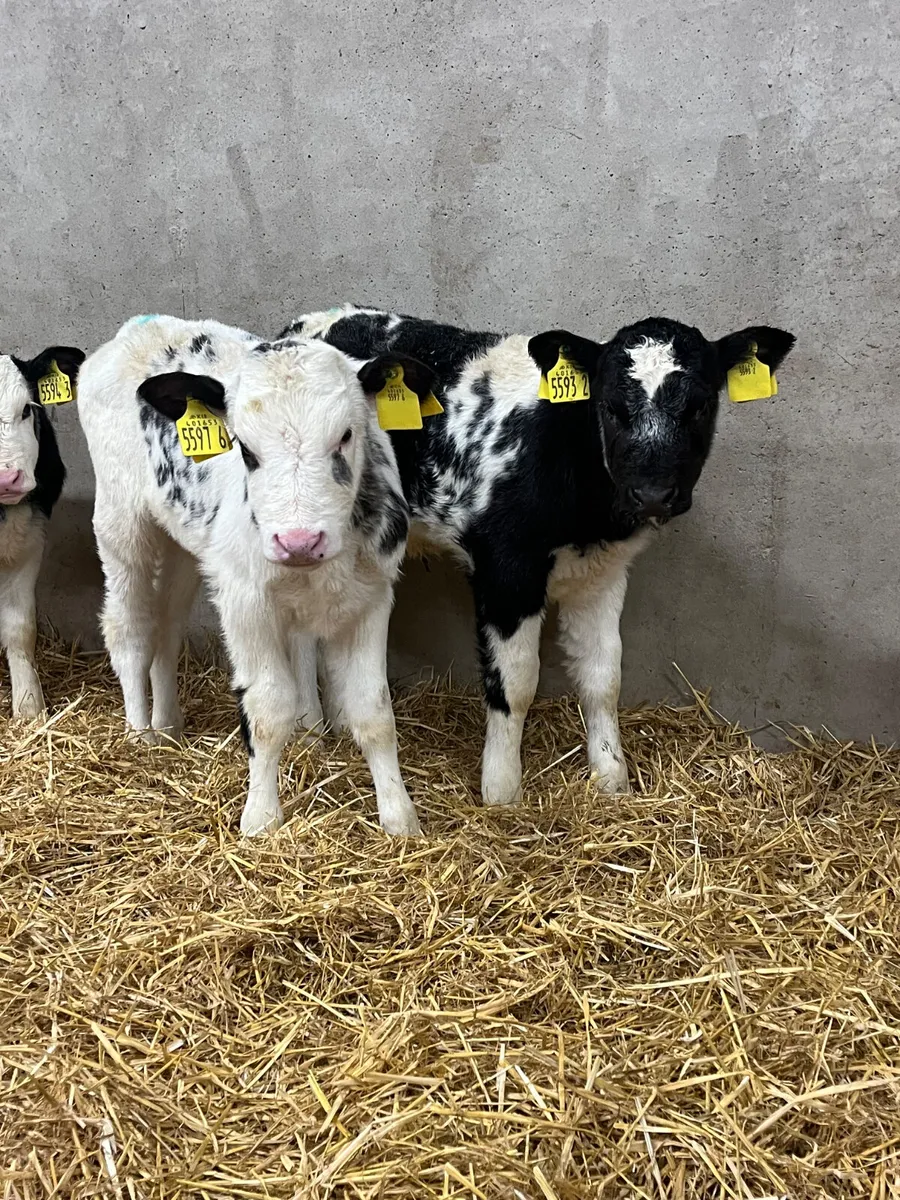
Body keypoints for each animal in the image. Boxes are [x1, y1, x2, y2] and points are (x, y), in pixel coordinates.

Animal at [77, 314, 436, 837]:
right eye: (243, 448)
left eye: (347, 435)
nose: (298, 540)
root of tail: (141, 327)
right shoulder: (245, 602)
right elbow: (268, 709)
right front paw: (262, 818)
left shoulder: (371, 596)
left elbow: (374, 711)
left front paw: (399, 817)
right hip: (121, 524)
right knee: (130, 628)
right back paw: (140, 734)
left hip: (187, 545)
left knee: (168, 626)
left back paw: (168, 726)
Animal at [278, 305, 795, 808]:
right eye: (611, 407)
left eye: (700, 405)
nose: (651, 495)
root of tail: (302, 325)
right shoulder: (506, 570)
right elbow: (516, 684)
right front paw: (502, 791)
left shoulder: (604, 572)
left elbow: (603, 675)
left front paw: (612, 778)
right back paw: (309, 732)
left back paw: (335, 727)